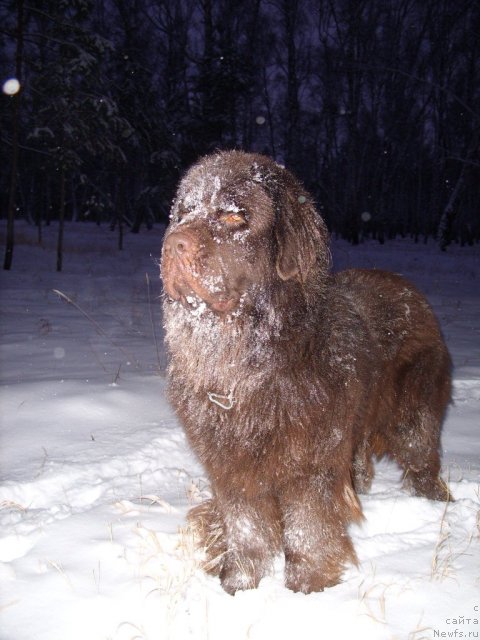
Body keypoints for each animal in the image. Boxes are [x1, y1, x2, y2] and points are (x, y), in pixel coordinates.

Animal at [160, 150, 450, 596]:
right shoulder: (232, 466)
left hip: (412, 415)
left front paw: (306, 589)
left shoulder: (311, 462)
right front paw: (239, 585)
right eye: (184, 212)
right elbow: (246, 527)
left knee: (422, 459)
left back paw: (437, 505)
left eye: (234, 216)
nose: (174, 243)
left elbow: (308, 528)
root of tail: (409, 288)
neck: (249, 369)